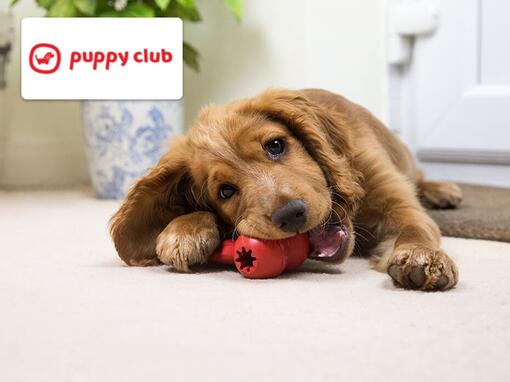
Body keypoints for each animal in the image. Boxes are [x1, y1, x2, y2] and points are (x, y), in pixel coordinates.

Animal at [111, 89, 462, 290]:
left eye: (276, 145)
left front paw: (423, 257)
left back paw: (442, 190)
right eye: (225, 191)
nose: (291, 215)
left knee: (419, 177)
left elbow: (415, 227)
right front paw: (183, 230)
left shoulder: (396, 201)